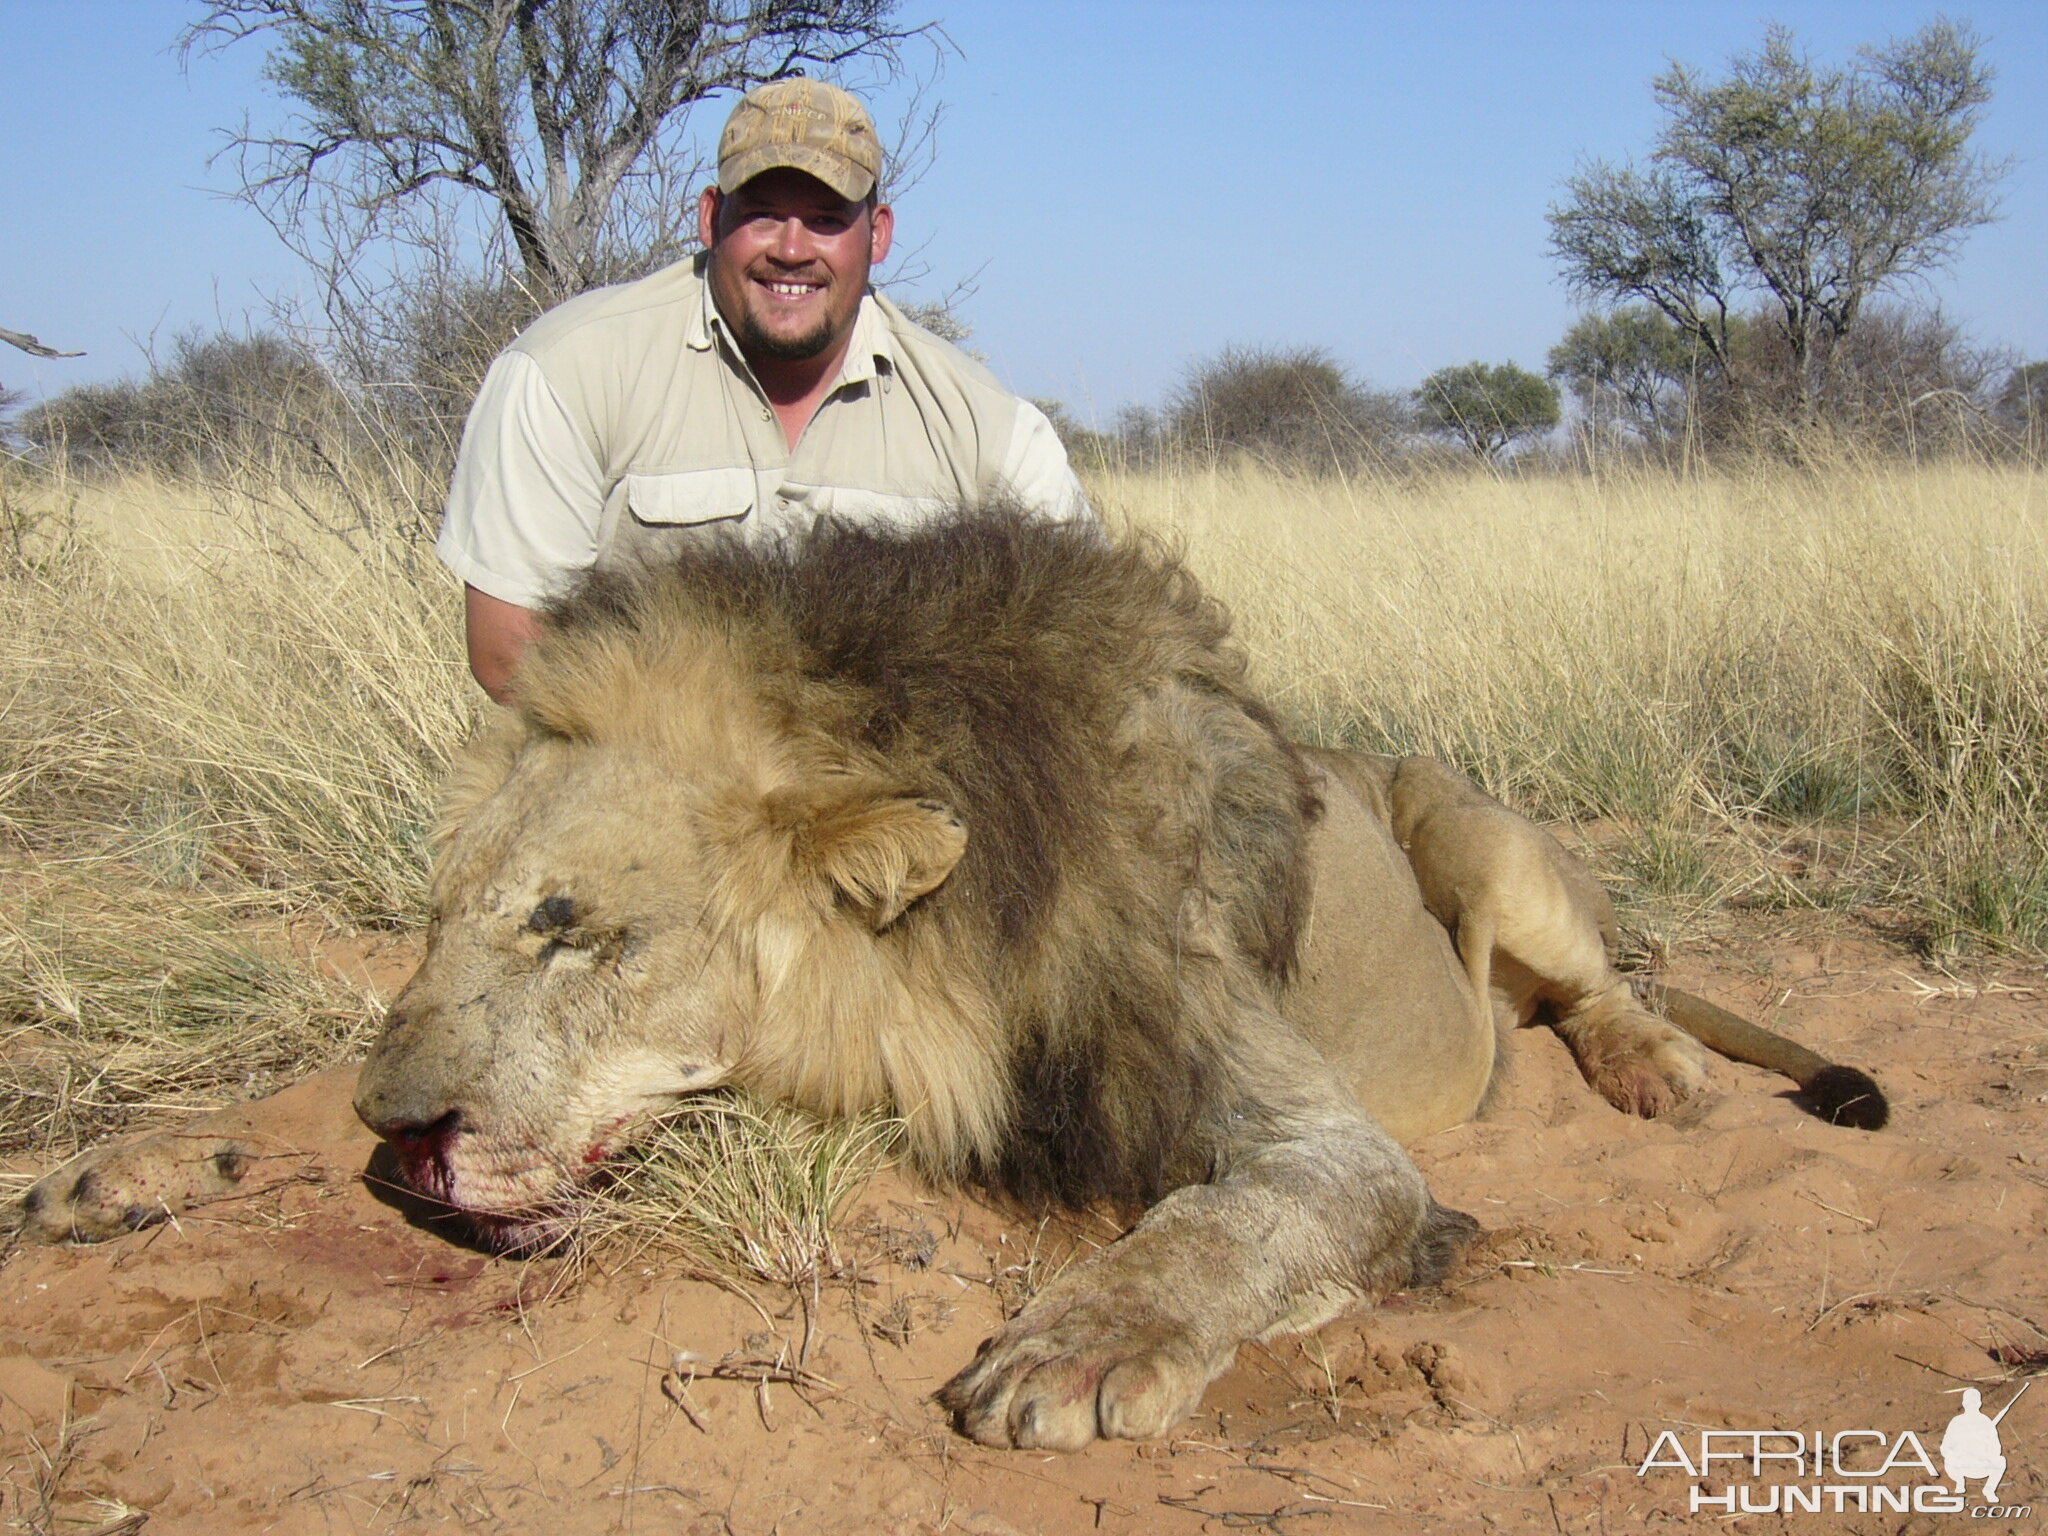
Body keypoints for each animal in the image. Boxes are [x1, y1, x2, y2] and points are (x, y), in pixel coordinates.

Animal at [16, 512, 1884, 1449]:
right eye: (446, 917)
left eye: (571, 925)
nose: (403, 1134)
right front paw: (138, 1161)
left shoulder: (1305, 1125)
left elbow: (1235, 1213)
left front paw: (1078, 1349)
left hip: (1478, 839)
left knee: (1601, 982)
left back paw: (1657, 1071)